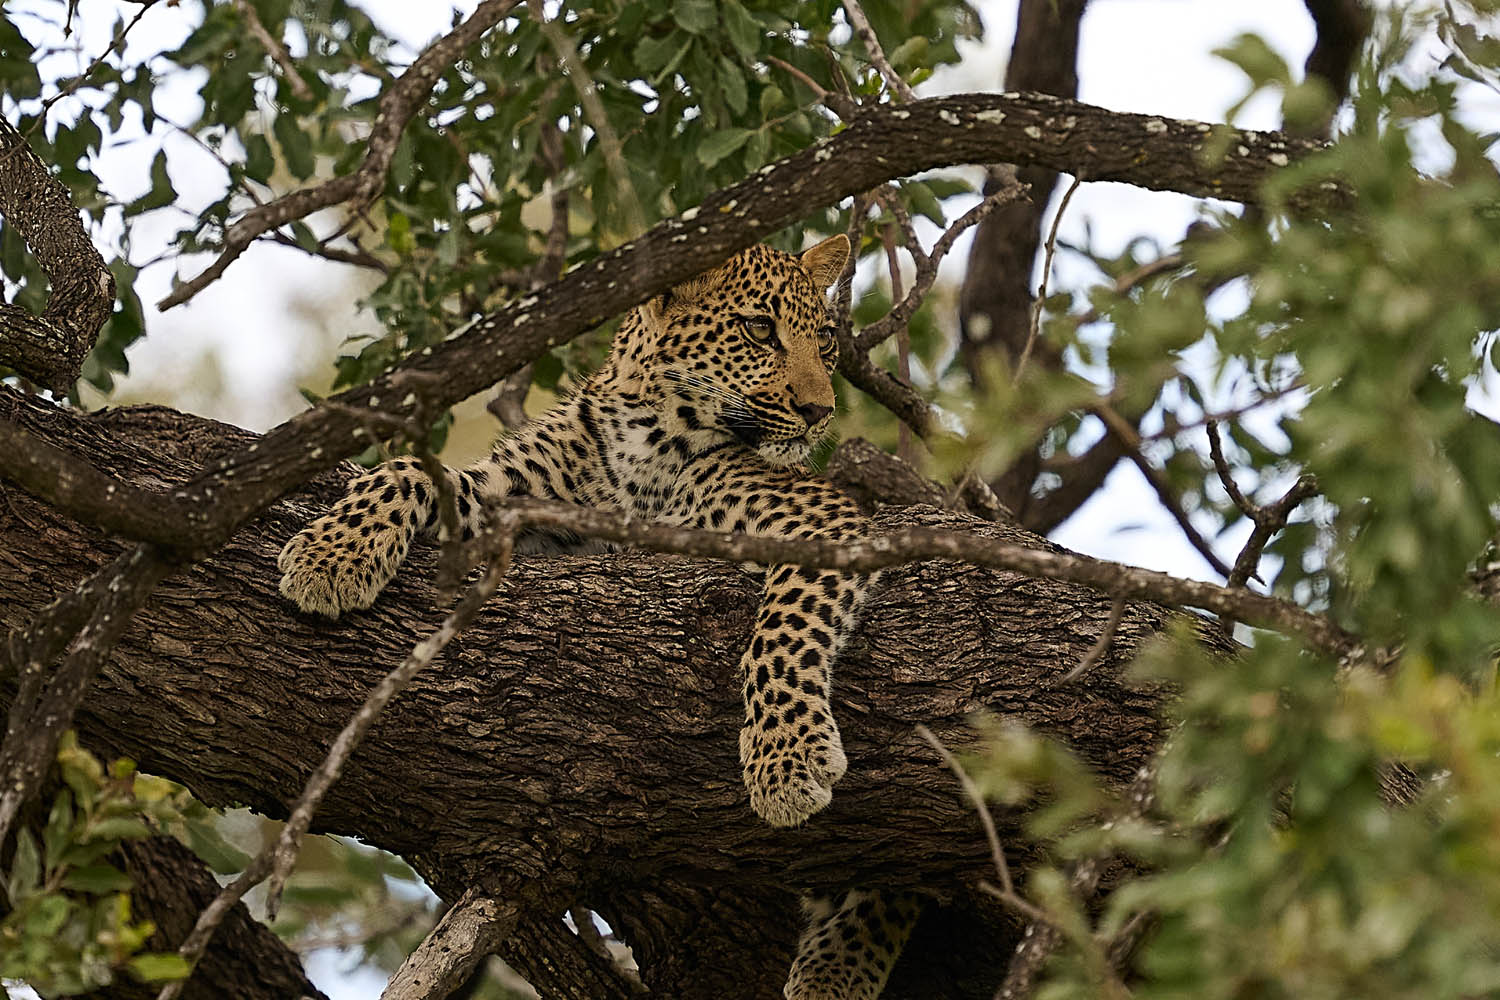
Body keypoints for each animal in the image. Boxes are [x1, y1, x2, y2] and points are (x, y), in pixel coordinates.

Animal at [277, 235, 918, 998]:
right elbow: (406, 468)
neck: (651, 437)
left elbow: (783, 635)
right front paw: (332, 552)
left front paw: (785, 759)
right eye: (760, 330)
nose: (820, 410)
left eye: (824, 341)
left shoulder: (824, 523)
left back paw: (834, 968)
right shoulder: (519, 504)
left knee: (901, 882)